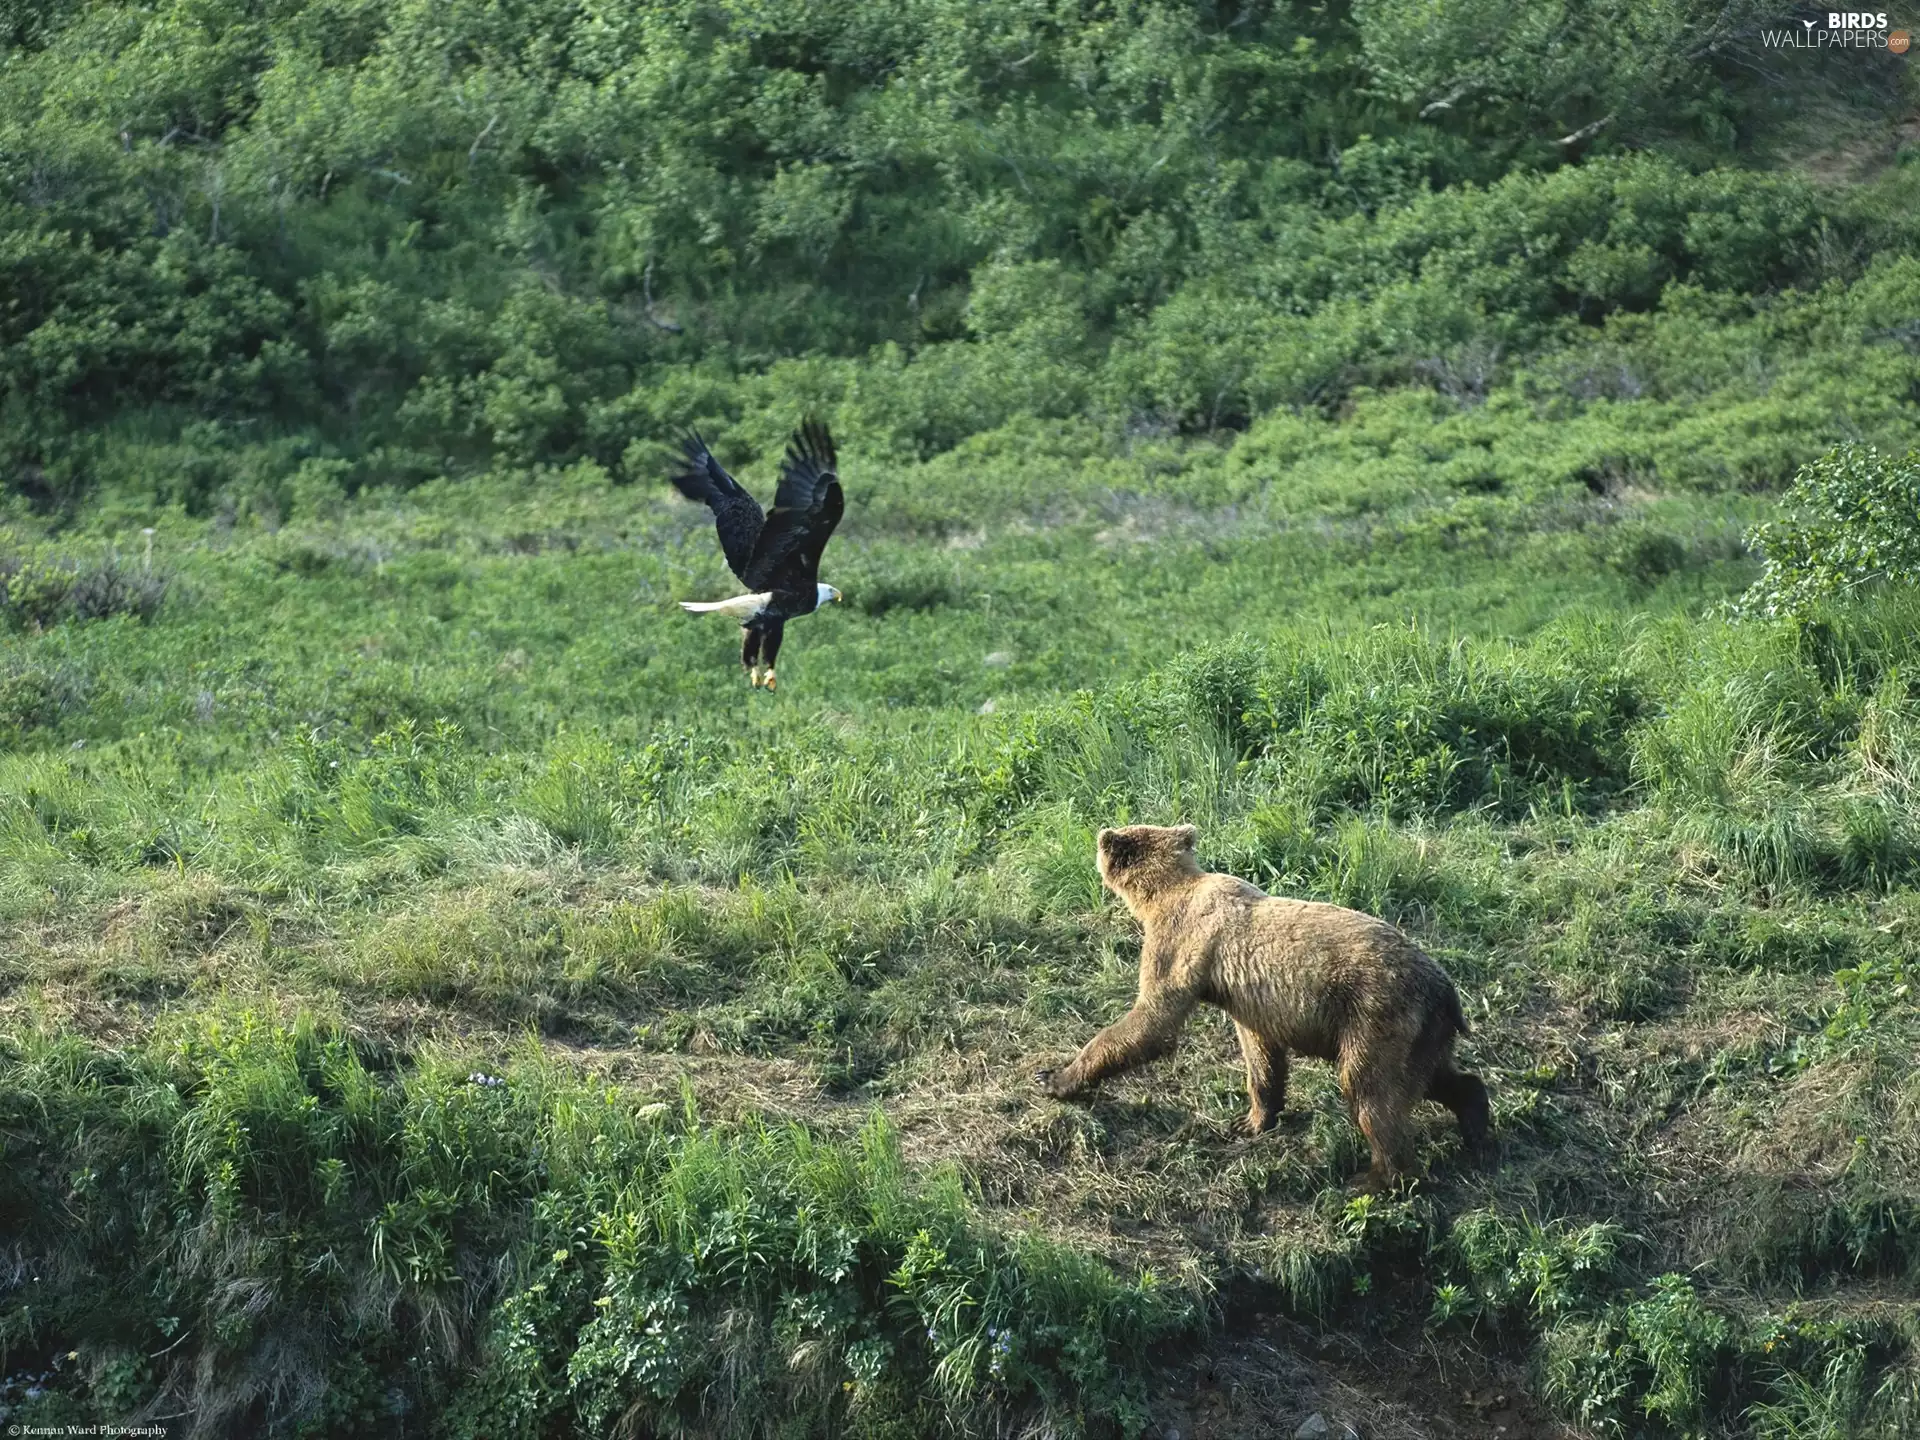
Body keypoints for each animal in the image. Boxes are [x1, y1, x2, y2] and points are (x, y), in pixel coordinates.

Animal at [1036, 823, 1491, 1189]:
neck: (1165, 894)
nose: (1101, 835)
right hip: (1419, 1034)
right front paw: (1249, 1120)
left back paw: (1375, 1178)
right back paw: (1476, 1127)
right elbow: (1262, 1058)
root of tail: (1446, 991)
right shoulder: (1250, 1002)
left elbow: (1152, 1020)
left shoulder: (1179, 942)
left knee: (1372, 1094)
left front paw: (1055, 1077)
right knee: (1435, 1079)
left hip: (1374, 1017)